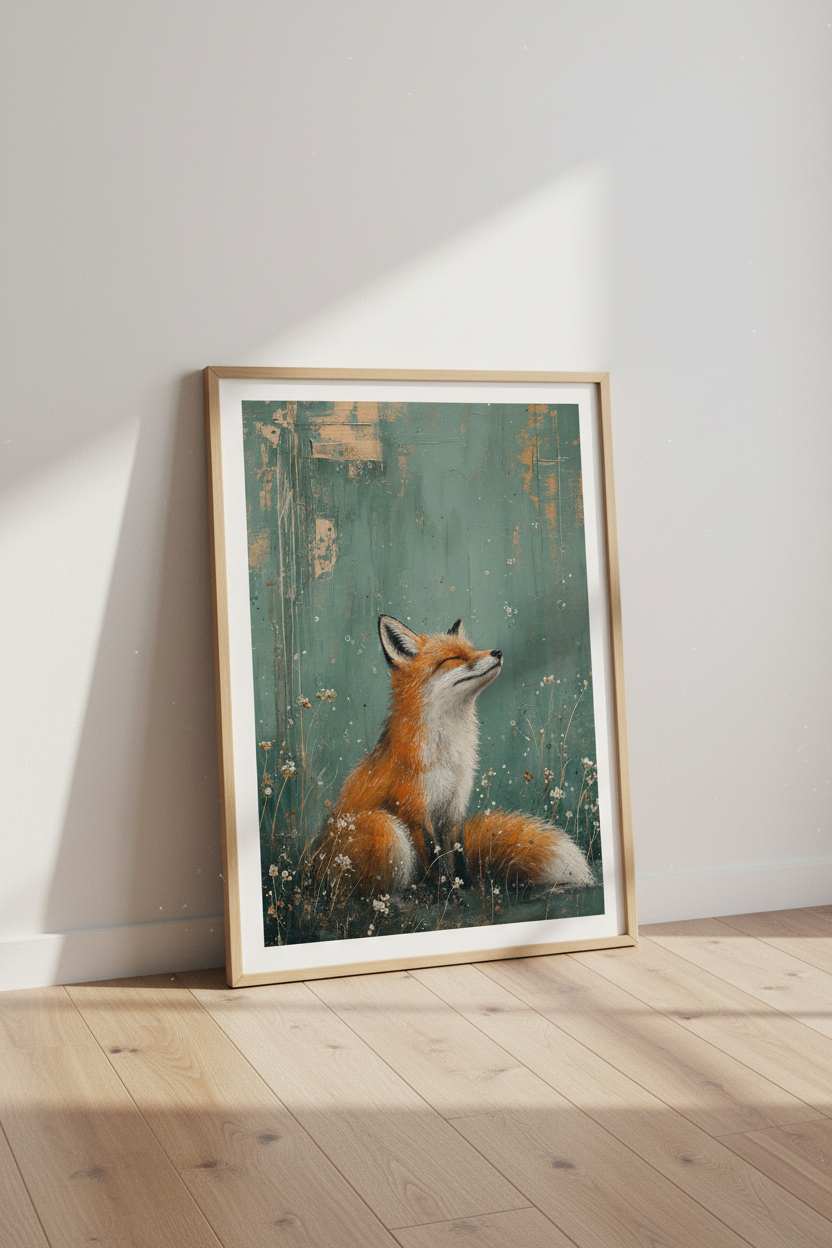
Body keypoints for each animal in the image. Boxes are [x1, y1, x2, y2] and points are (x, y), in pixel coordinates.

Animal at [316, 614, 595, 895]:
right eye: (454, 658)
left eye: (473, 649)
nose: (497, 652)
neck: (448, 753)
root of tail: (313, 869)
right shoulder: (415, 808)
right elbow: (434, 857)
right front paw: (445, 891)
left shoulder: (454, 805)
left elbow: (459, 855)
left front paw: (467, 887)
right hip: (384, 826)